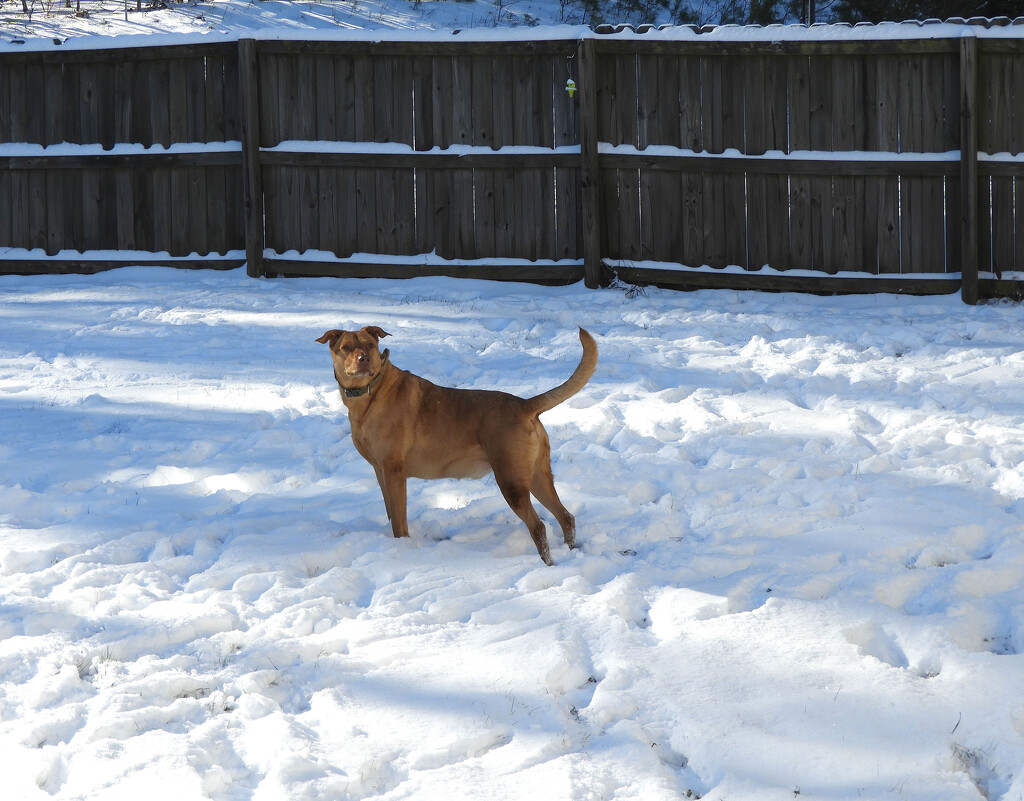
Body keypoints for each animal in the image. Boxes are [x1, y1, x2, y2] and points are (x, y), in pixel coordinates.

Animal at [315, 325, 598, 565]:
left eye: (370, 345)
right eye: (346, 347)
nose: (363, 359)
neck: (369, 393)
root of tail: (525, 404)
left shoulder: (394, 471)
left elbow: (399, 521)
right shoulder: (379, 470)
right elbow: (390, 512)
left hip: (512, 482)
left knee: (538, 527)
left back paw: (547, 563)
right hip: (537, 476)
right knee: (566, 517)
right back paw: (570, 552)